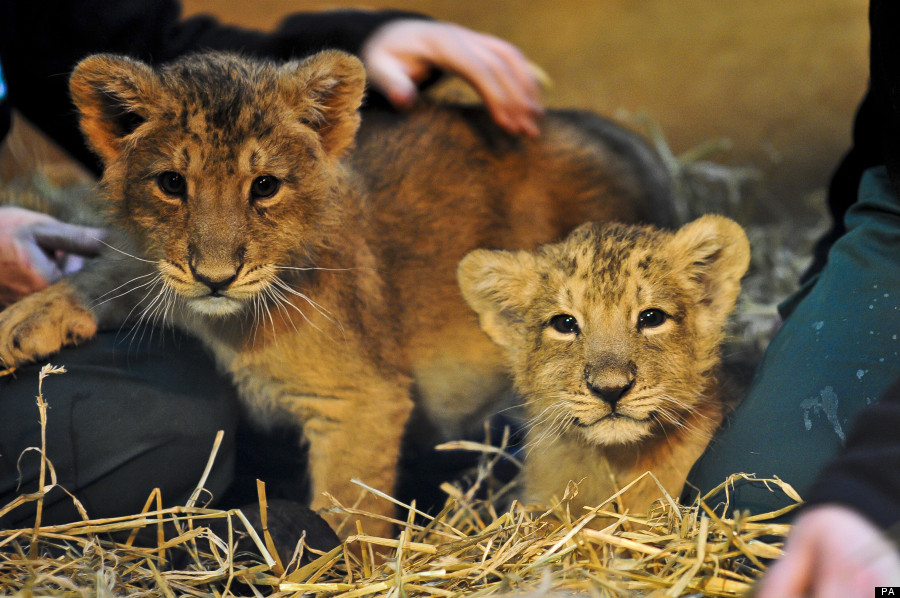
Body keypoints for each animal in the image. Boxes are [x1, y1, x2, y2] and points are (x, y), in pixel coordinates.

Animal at [0, 50, 671, 537]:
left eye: (264, 186)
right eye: (171, 184)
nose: (215, 276)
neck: (222, 319)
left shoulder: (360, 399)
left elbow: (350, 507)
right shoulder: (155, 269)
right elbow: (110, 268)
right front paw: (23, 322)